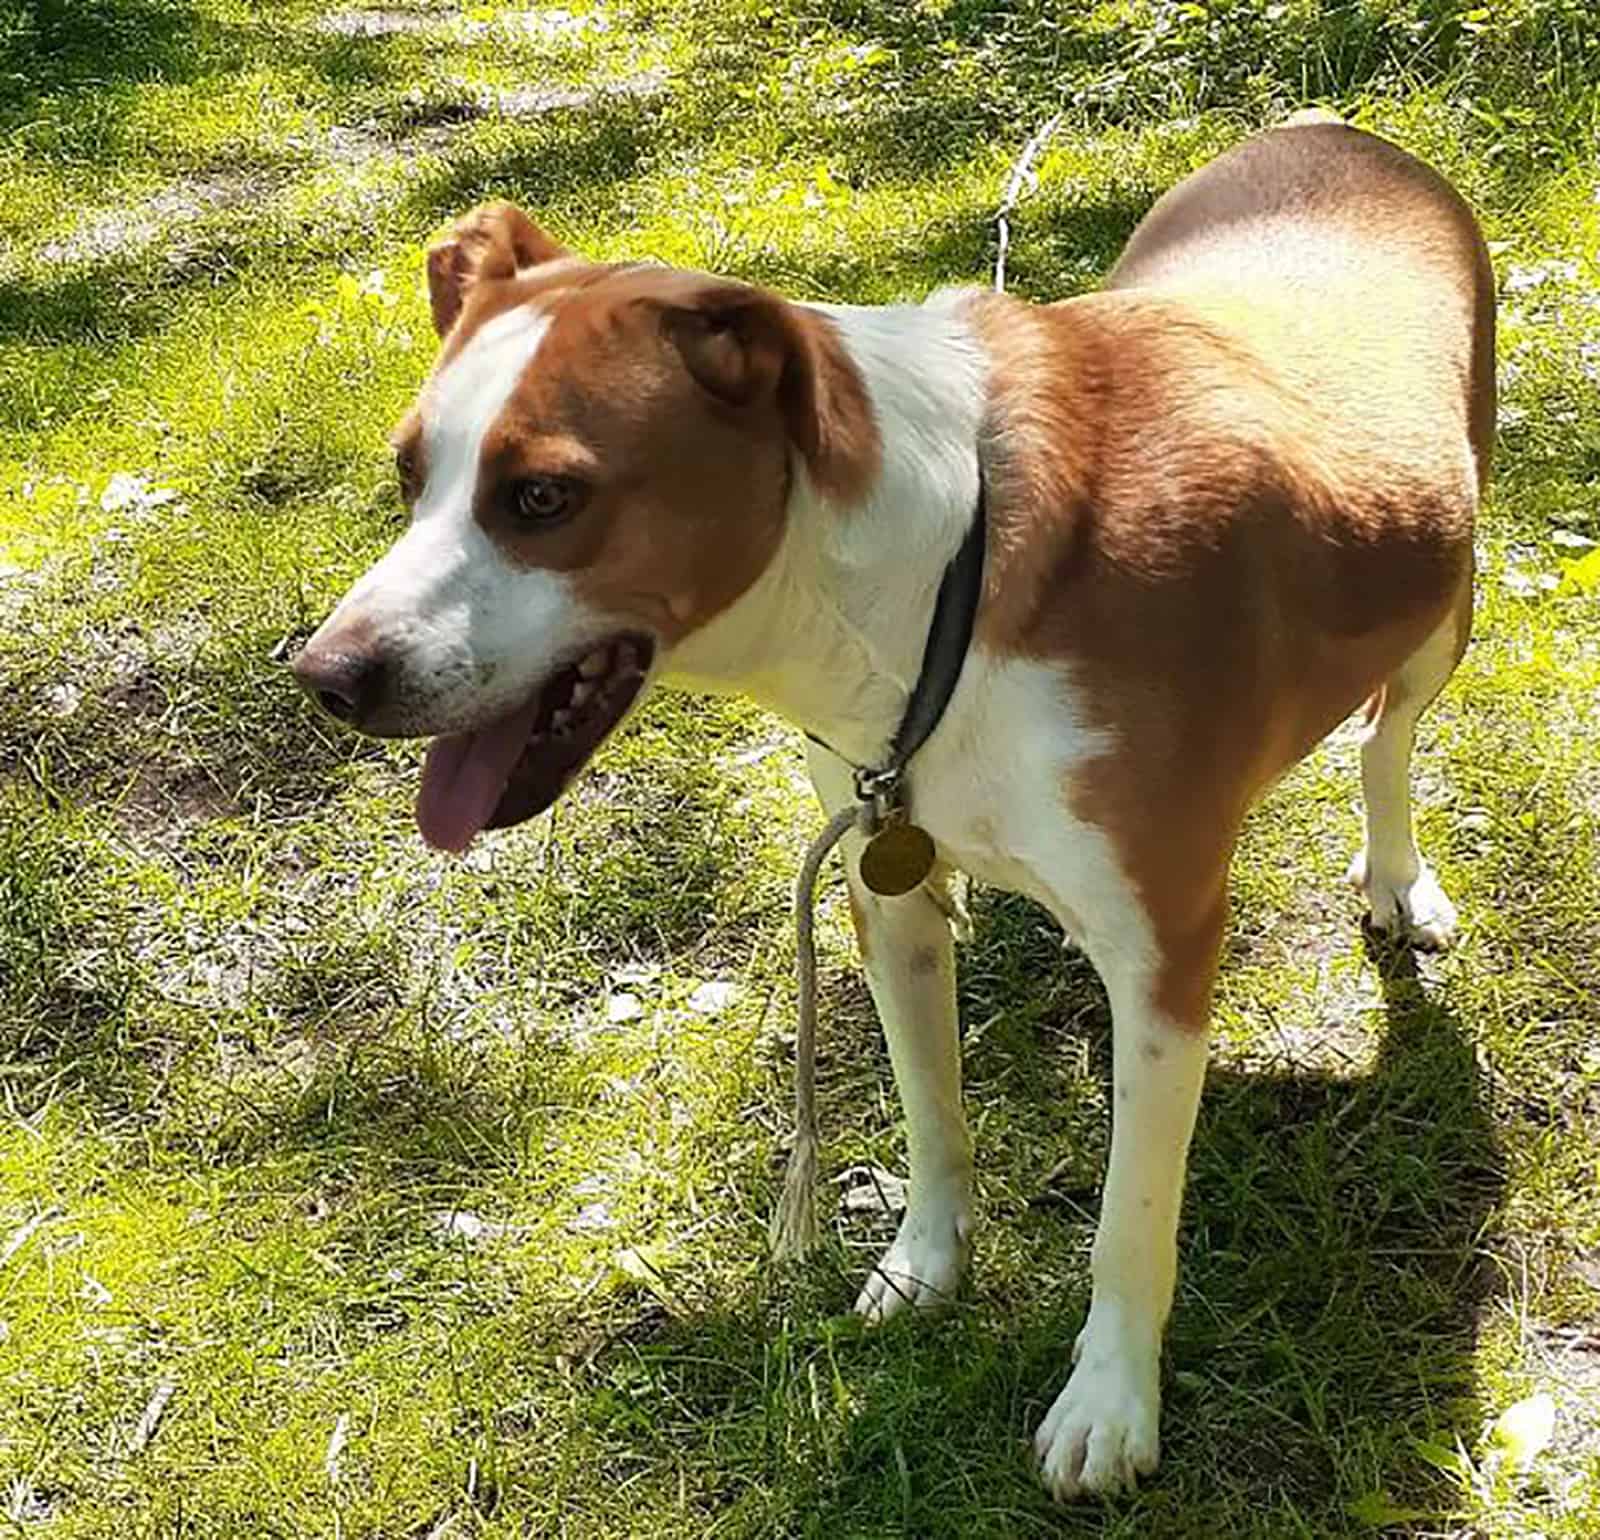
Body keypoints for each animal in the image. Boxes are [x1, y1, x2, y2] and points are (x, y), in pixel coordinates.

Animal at [294, 123, 1491, 1498]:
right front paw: (927, 1261)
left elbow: (1128, 1220)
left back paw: (1395, 873)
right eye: (408, 475)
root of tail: (1338, 131)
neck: (934, 580)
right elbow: (931, 1110)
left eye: (542, 497)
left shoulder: (1166, 946)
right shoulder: (887, 872)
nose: (328, 674)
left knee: (1387, 738)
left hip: (1444, 607)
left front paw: (1109, 1396)